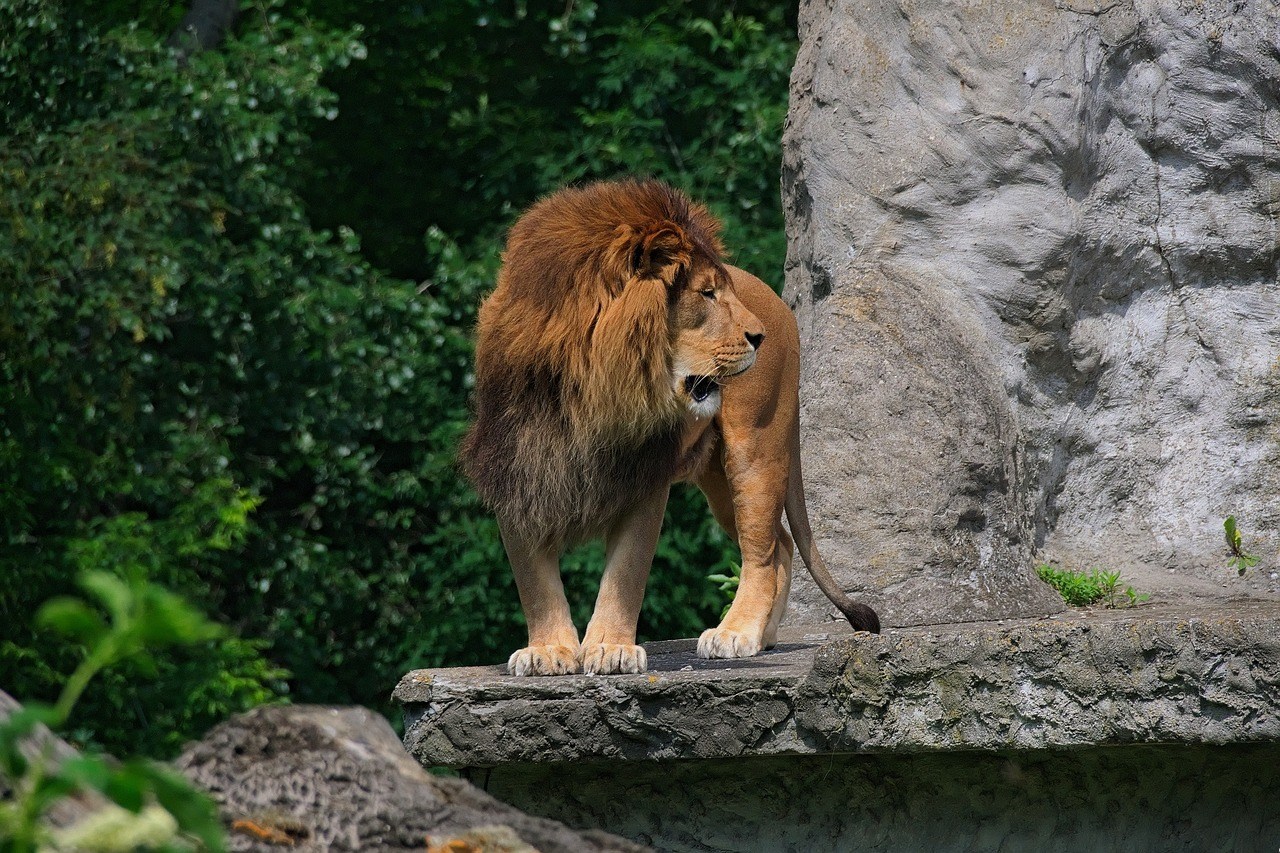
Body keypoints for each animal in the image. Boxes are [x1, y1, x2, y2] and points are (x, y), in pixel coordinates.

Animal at [460, 178, 880, 671]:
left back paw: (737, 633)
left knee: (762, 548)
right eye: (707, 293)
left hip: (756, 448)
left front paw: (611, 648)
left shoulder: (645, 473)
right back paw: (764, 634)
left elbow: (626, 570)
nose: (758, 337)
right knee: (780, 542)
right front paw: (549, 650)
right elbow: (534, 581)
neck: (590, 389)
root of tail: (779, 303)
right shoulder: (516, 470)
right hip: (719, 479)